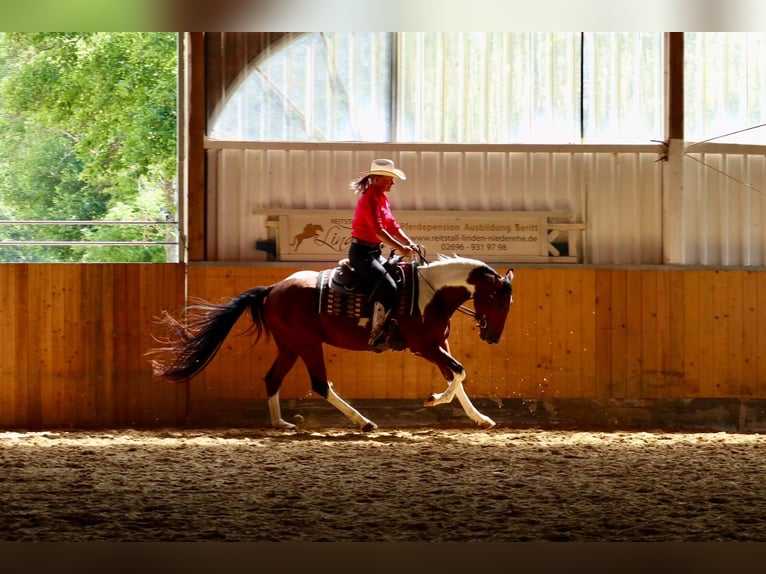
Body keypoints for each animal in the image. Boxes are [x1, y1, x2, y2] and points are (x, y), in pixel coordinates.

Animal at [150, 254, 514, 431]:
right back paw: (363, 422)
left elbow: (456, 376)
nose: (493, 337)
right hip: (308, 345)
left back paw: (280, 422)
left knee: (272, 379)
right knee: (320, 384)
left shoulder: (439, 345)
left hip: (290, 346)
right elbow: (459, 373)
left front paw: (480, 418)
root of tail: (272, 289)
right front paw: (433, 399)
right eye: (497, 301)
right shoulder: (424, 346)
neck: (432, 294)